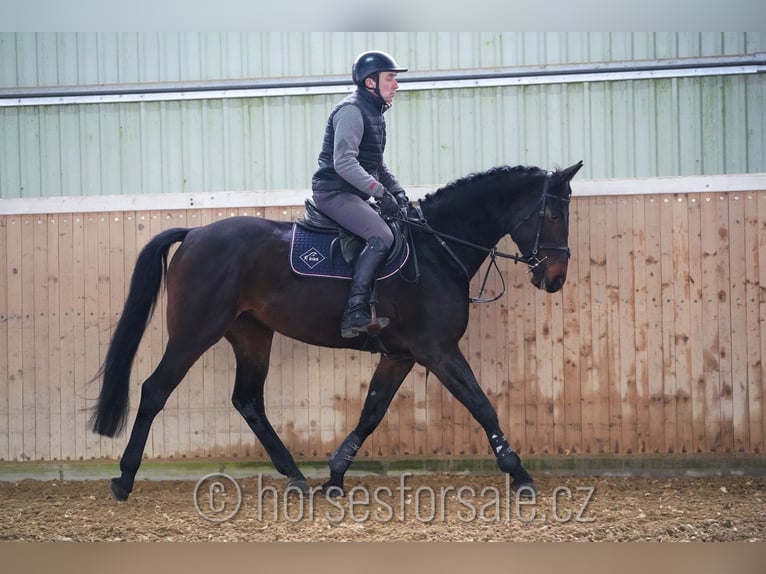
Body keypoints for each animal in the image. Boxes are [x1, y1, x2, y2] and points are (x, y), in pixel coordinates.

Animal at [90, 160, 584, 502]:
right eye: (553, 214)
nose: (555, 277)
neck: (437, 248)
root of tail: (193, 235)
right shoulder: (438, 350)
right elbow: (482, 406)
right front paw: (519, 474)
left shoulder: (400, 355)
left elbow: (371, 413)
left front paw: (335, 475)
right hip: (195, 333)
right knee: (155, 390)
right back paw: (124, 479)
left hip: (252, 335)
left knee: (248, 401)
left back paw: (296, 476)